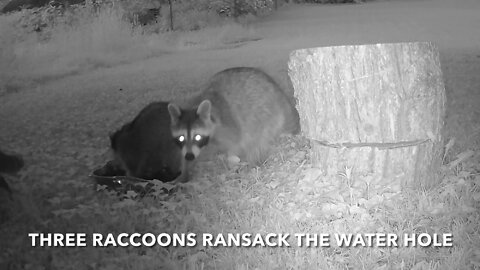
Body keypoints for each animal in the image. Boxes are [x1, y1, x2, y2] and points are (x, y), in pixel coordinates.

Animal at [167, 67, 298, 167]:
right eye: (181, 138)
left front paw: (231, 157)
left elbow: (236, 142)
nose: (189, 156)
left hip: (266, 112)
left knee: (258, 139)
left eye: (197, 137)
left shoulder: (228, 123)